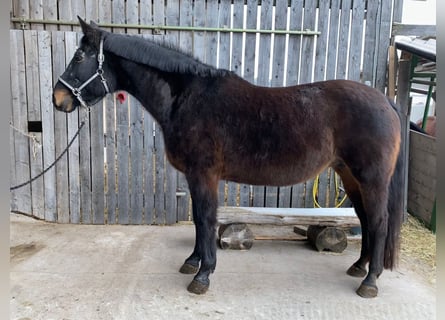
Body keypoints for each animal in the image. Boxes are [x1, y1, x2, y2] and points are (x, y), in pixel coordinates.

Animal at [53, 18, 404, 298]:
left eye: (79, 56)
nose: (58, 98)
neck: (187, 98)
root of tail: (385, 101)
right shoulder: (194, 176)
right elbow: (198, 218)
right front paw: (192, 261)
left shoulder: (203, 174)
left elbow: (207, 218)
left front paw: (203, 275)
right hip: (350, 176)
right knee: (365, 220)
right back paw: (359, 267)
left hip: (371, 179)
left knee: (378, 222)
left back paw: (370, 281)